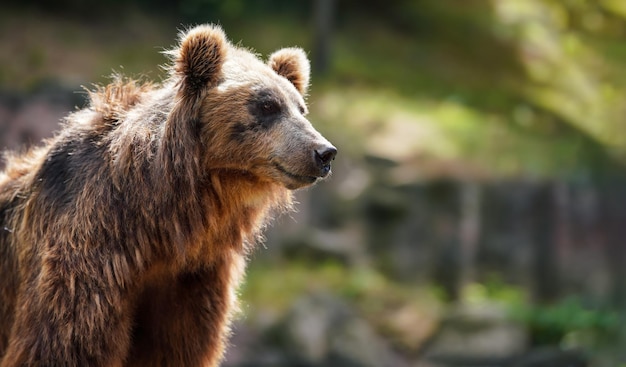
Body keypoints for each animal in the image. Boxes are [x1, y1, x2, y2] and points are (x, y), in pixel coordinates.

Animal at [0, 24, 336, 366]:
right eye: (267, 105)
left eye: (301, 108)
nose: (324, 152)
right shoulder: (83, 258)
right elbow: (65, 343)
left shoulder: (192, 282)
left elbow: (176, 347)